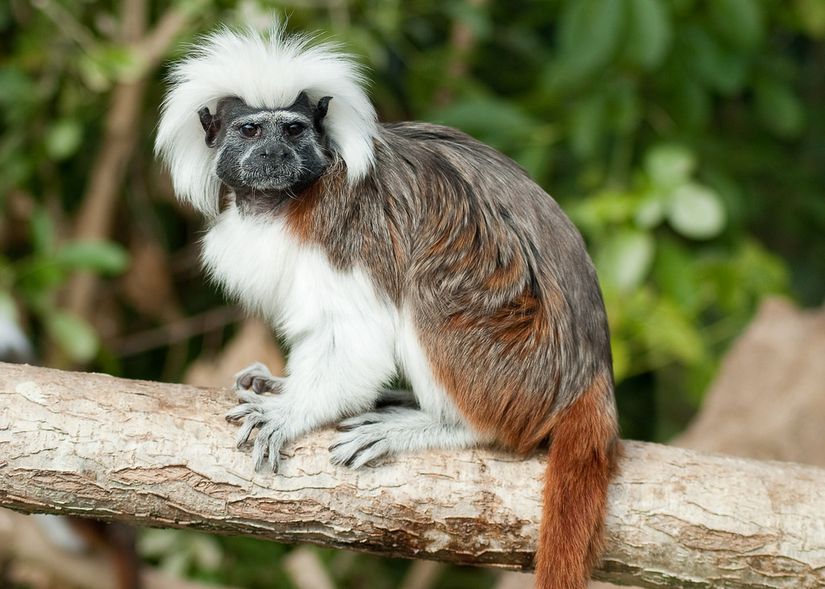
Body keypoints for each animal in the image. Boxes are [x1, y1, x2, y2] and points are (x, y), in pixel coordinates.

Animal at [154, 25, 616, 584]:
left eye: (292, 131)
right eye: (250, 130)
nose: (274, 155)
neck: (284, 200)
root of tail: (589, 372)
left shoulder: (347, 227)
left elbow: (355, 335)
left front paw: (290, 411)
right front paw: (283, 385)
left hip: (513, 361)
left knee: (431, 297)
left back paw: (438, 425)